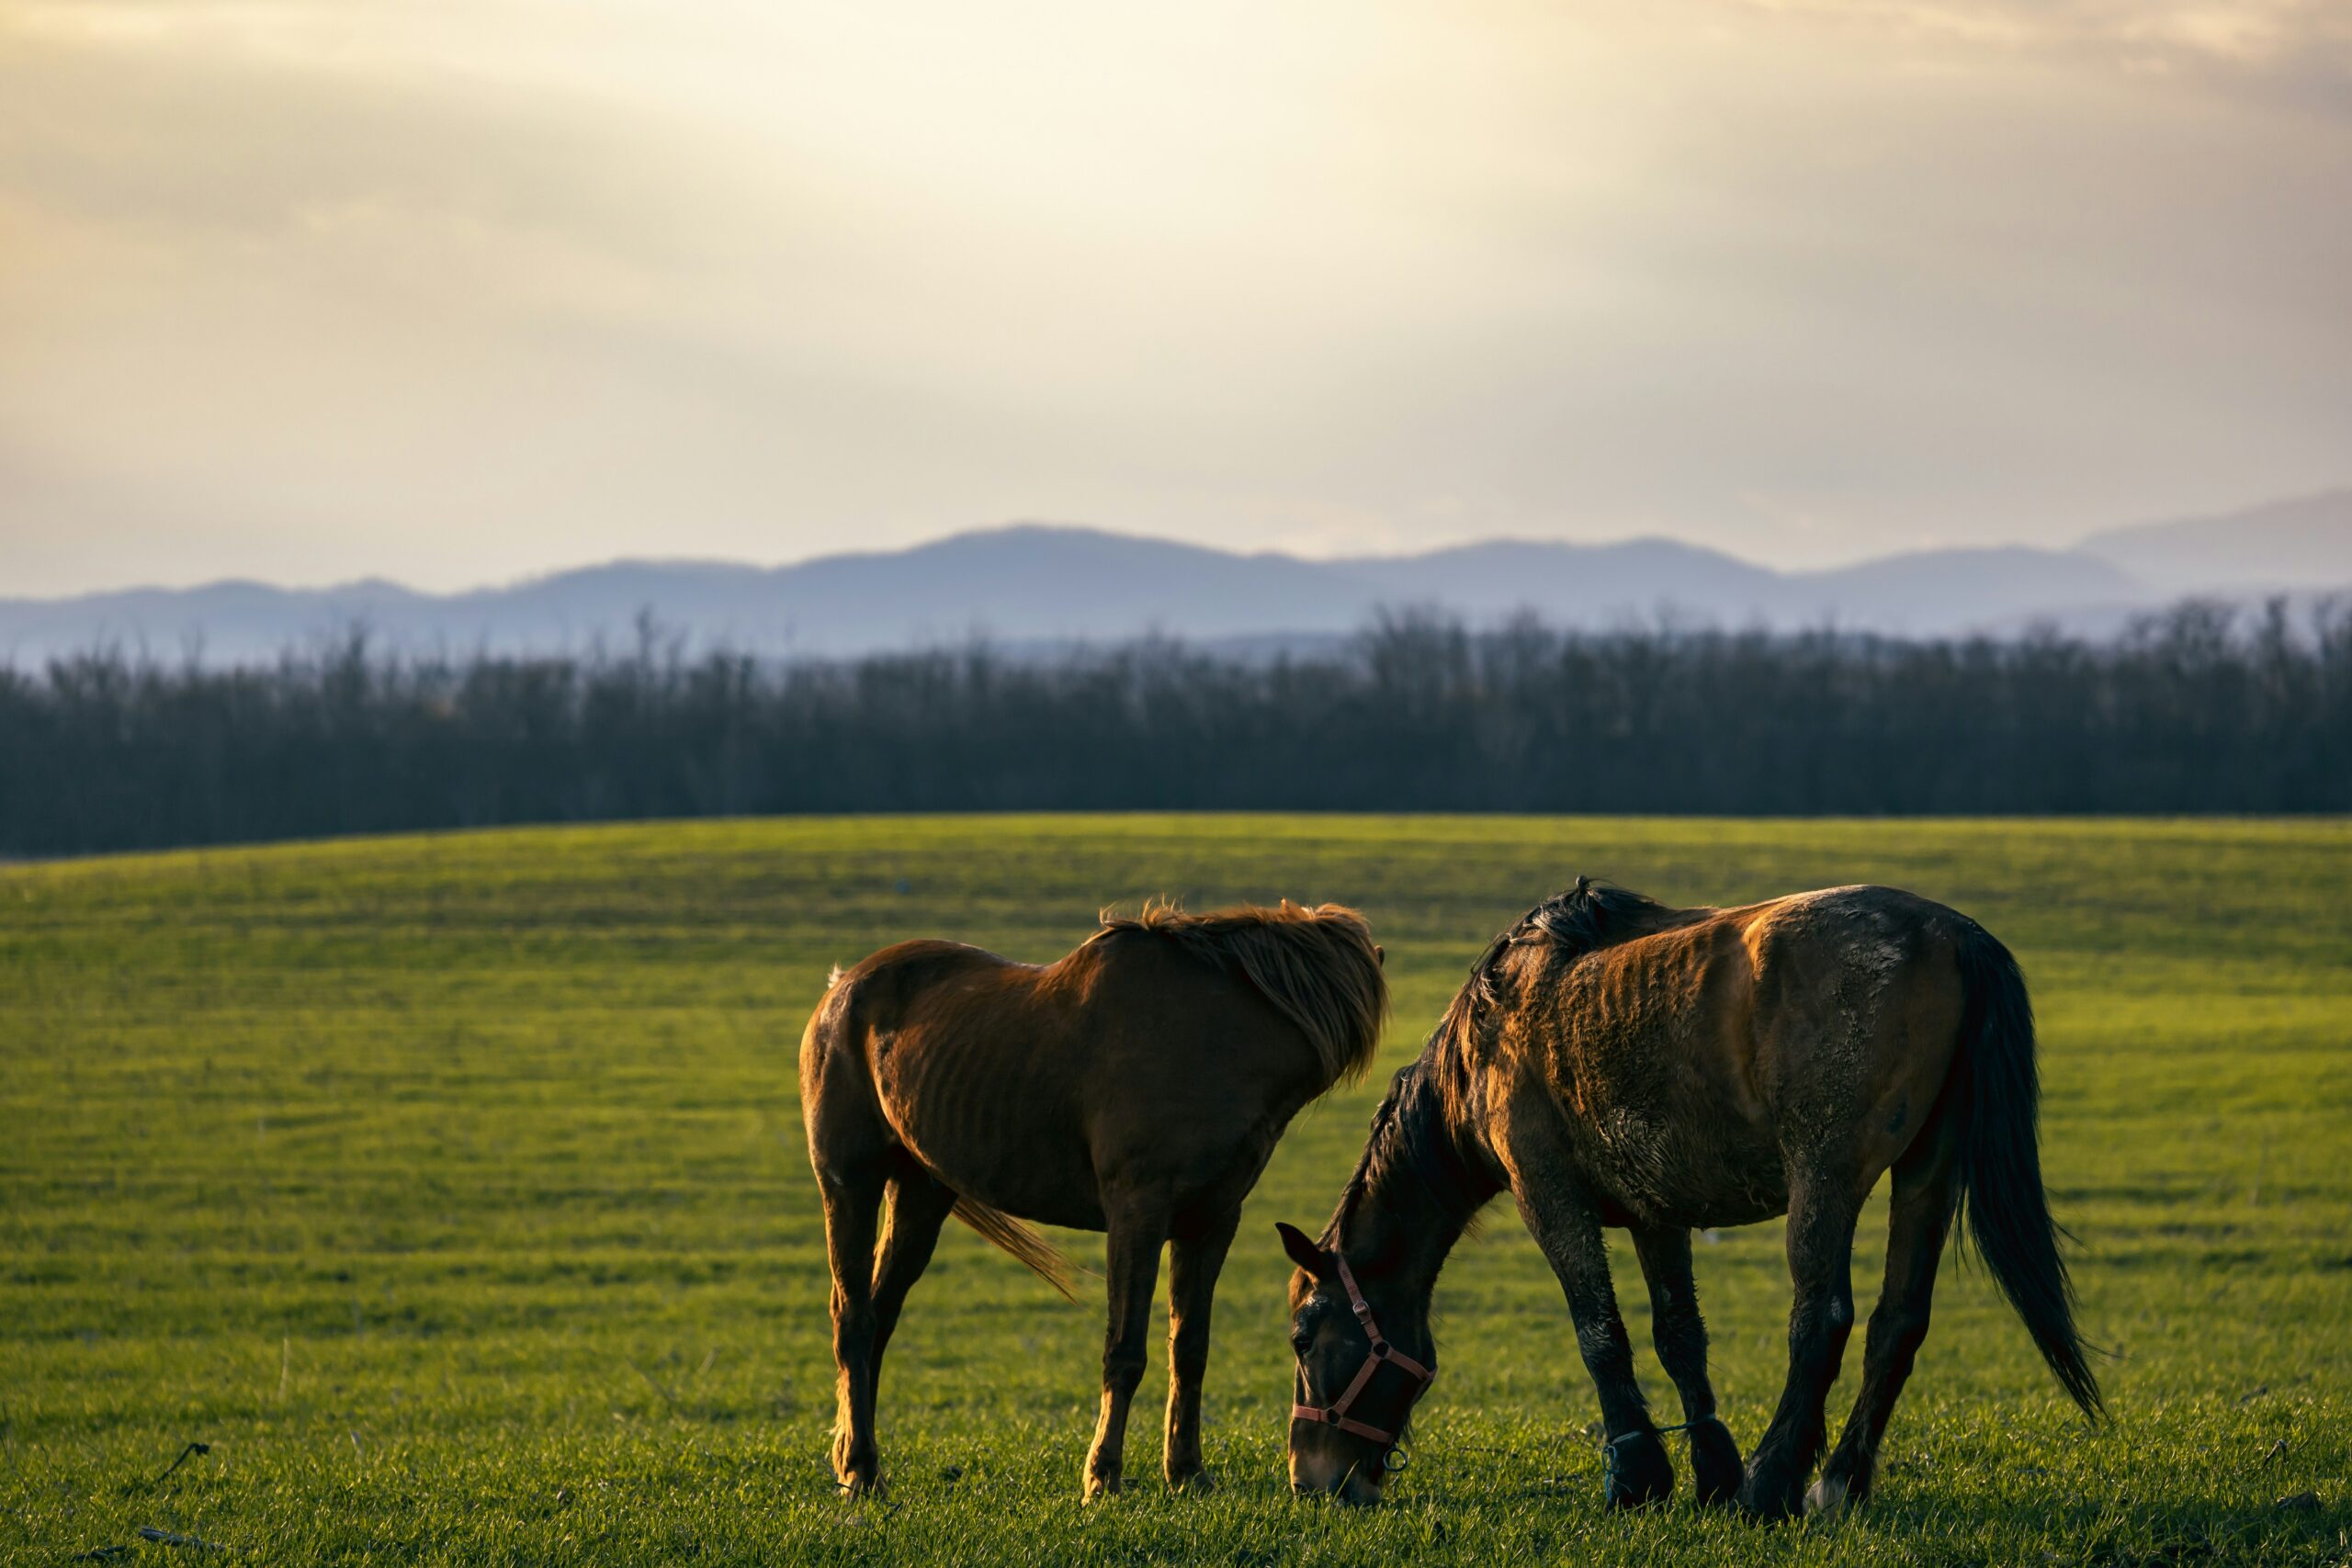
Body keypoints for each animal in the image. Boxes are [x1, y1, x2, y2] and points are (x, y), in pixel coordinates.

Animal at [804, 893, 1374, 1495]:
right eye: (1307, 1340)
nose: (1330, 1481)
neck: (1210, 1038)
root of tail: (842, 990)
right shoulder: (1138, 1213)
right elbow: (1124, 1351)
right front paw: (1102, 1478)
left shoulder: (1212, 1221)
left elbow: (1190, 1349)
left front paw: (1187, 1472)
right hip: (849, 1184)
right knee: (853, 1319)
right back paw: (862, 1469)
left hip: (920, 1194)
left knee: (879, 1317)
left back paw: (853, 1459)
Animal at [1279, 879, 2107, 1514]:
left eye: (1303, 1336)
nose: (1311, 1479)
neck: (1494, 1029)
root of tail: (1954, 934)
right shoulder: (1656, 1211)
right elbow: (1679, 1335)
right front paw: (1709, 1468)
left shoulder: (1547, 1194)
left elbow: (1599, 1330)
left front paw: (1637, 1475)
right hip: (1929, 1170)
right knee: (1896, 1322)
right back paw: (1838, 1482)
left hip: (1827, 1176)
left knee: (1823, 1318)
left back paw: (1772, 1485)